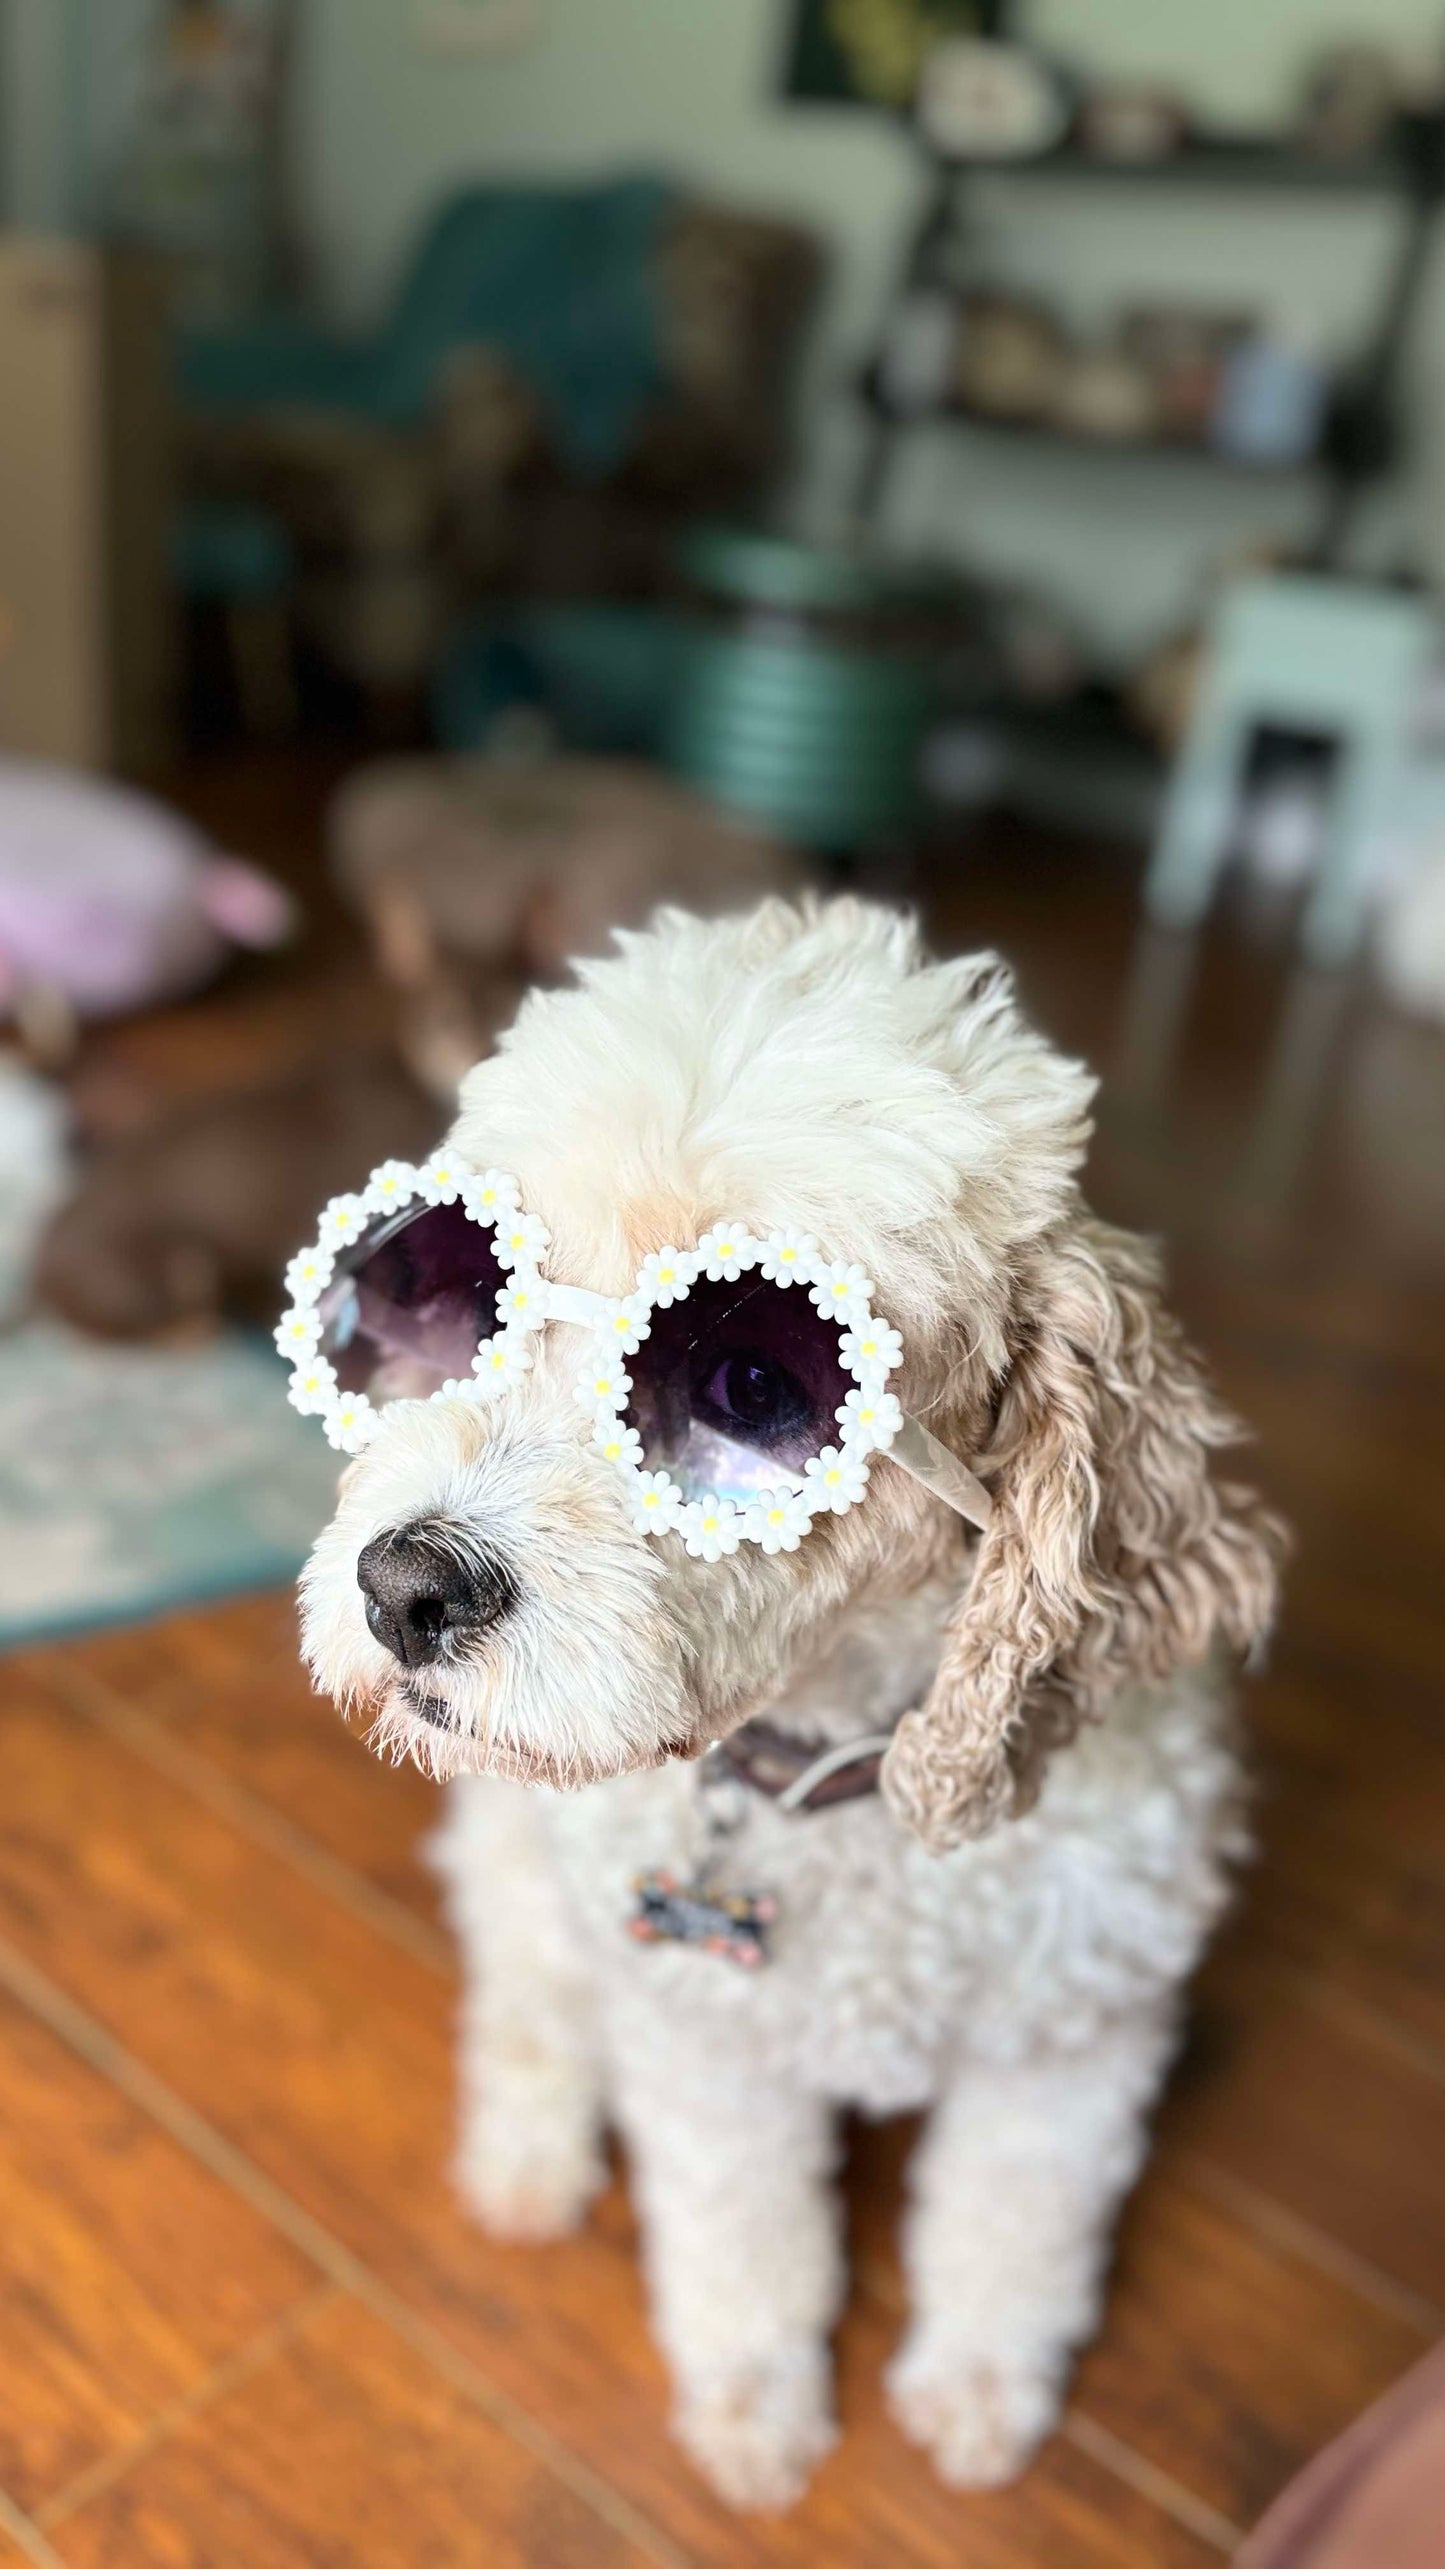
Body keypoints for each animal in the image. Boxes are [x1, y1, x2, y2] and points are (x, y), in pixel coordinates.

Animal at [298, 904, 1275, 2507]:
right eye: (450, 1288)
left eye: (753, 1380)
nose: (402, 1587)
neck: (846, 1776)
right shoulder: (706, 2055)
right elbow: (741, 2241)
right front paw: (755, 2417)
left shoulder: (1073, 2035)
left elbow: (1013, 2223)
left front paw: (982, 2391)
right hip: (527, 1883)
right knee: (525, 2001)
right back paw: (526, 2161)